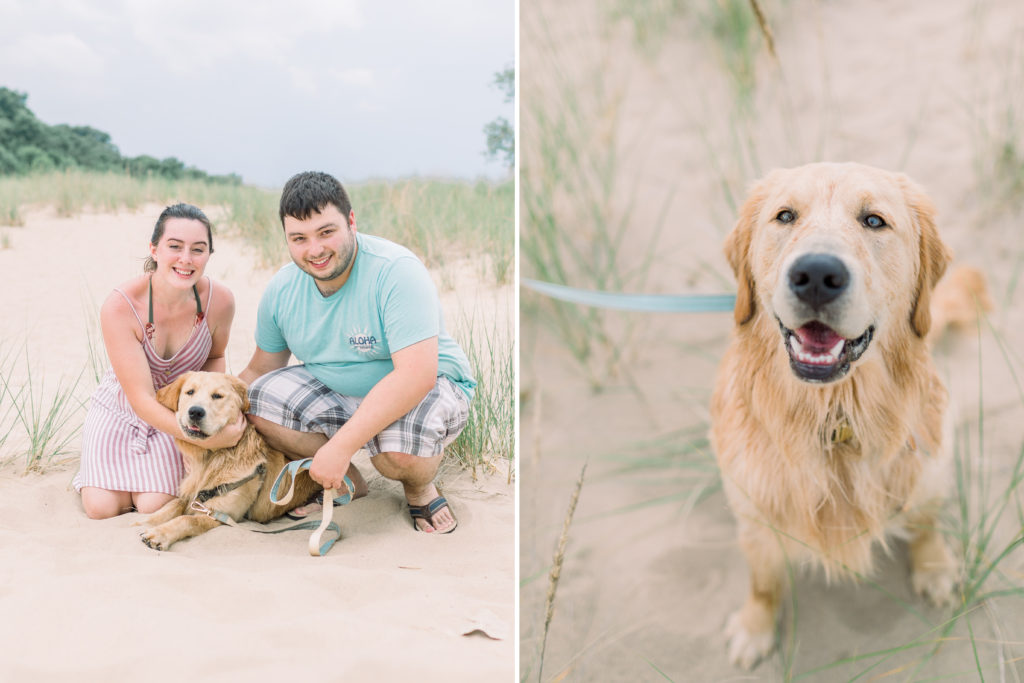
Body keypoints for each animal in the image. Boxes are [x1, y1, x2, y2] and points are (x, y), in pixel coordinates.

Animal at [137, 370, 319, 552]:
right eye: (190, 392)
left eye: (217, 396)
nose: (195, 412)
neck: (212, 459)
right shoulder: (192, 495)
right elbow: (171, 506)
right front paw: (144, 523)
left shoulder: (220, 514)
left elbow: (187, 520)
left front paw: (160, 534)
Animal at [708, 163, 978, 667]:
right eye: (785, 215)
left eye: (874, 221)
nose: (816, 273)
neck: (834, 415)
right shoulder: (753, 510)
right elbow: (763, 581)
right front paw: (755, 627)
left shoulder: (925, 467)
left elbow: (925, 523)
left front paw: (933, 566)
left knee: (926, 521)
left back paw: (934, 567)